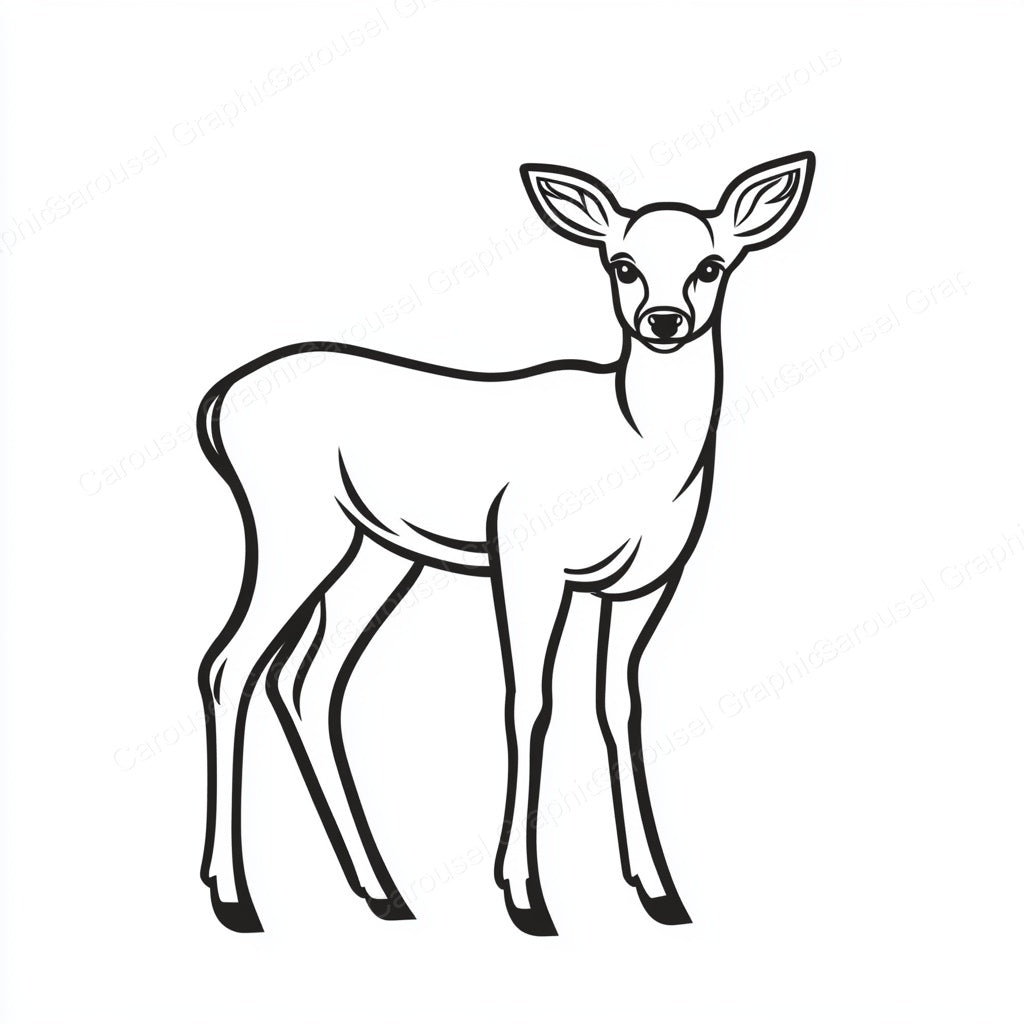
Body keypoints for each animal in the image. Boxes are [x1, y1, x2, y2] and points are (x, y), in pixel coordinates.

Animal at [196, 152, 815, 936]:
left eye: (712, 264)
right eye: (622, 264)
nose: (664, 320)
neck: (635, 446)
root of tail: (217, 404)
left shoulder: (645, 582)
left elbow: (619, 706)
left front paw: (660, 891)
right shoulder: (526, 557)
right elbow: (529, 701)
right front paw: (525, 895)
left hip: (380, 552)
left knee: (308, 678)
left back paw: (384, 892)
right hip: (293, 527)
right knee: (229, 665)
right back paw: (234, 895)